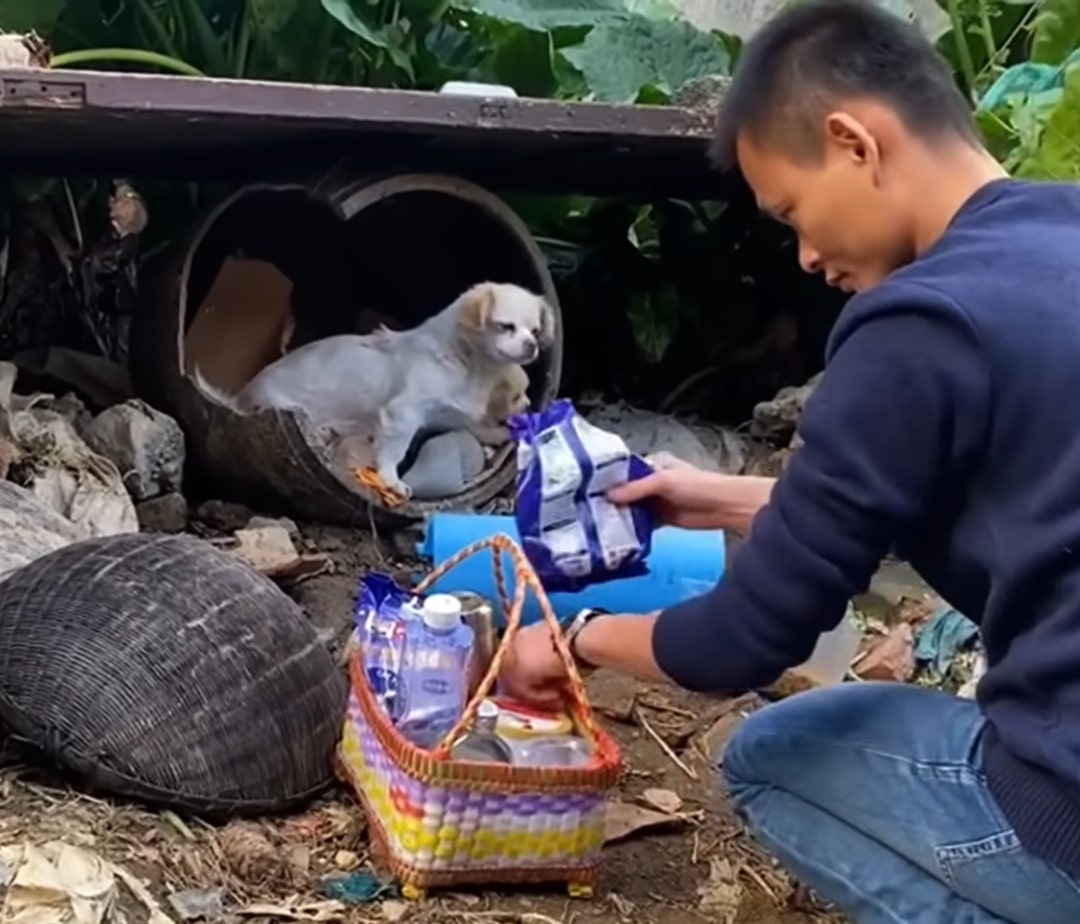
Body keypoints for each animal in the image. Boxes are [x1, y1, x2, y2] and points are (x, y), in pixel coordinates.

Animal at [189, 280, 552, 498]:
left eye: (535, 330)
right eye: (506, 327)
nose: (532, 345)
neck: (473, 368)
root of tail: (240, 399)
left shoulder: (446, 412)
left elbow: (470, 425)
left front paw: (498, 433)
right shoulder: (403, 414)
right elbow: (394, 451)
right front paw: (391, 479)